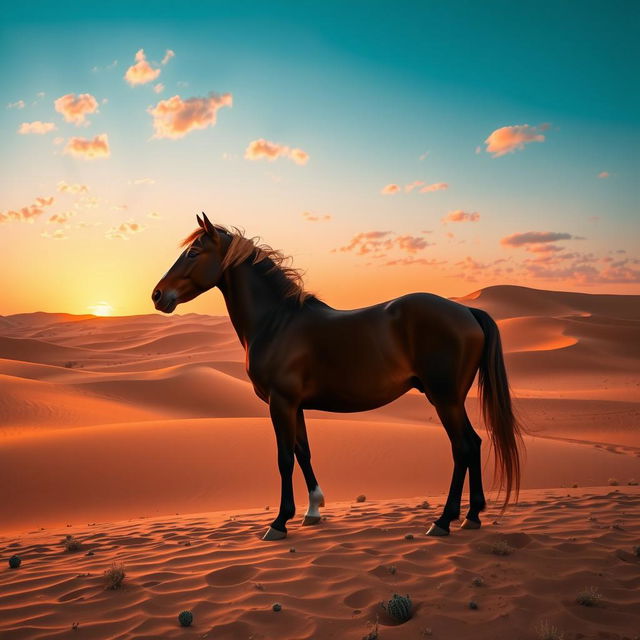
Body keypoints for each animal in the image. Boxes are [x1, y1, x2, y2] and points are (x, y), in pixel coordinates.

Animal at [152, 214, 524, 540]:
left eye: (194, 252)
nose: (157, 295)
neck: (277, 322)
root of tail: (467, 311)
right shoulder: (295, 406)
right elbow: (303, 452)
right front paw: (313, 510)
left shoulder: (280, 403)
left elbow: (284, 458)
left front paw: (279, 522)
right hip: (453, 400)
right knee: (474, 443)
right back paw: (472, 516)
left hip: (444, 398)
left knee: (462, 447)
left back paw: (444, 521)